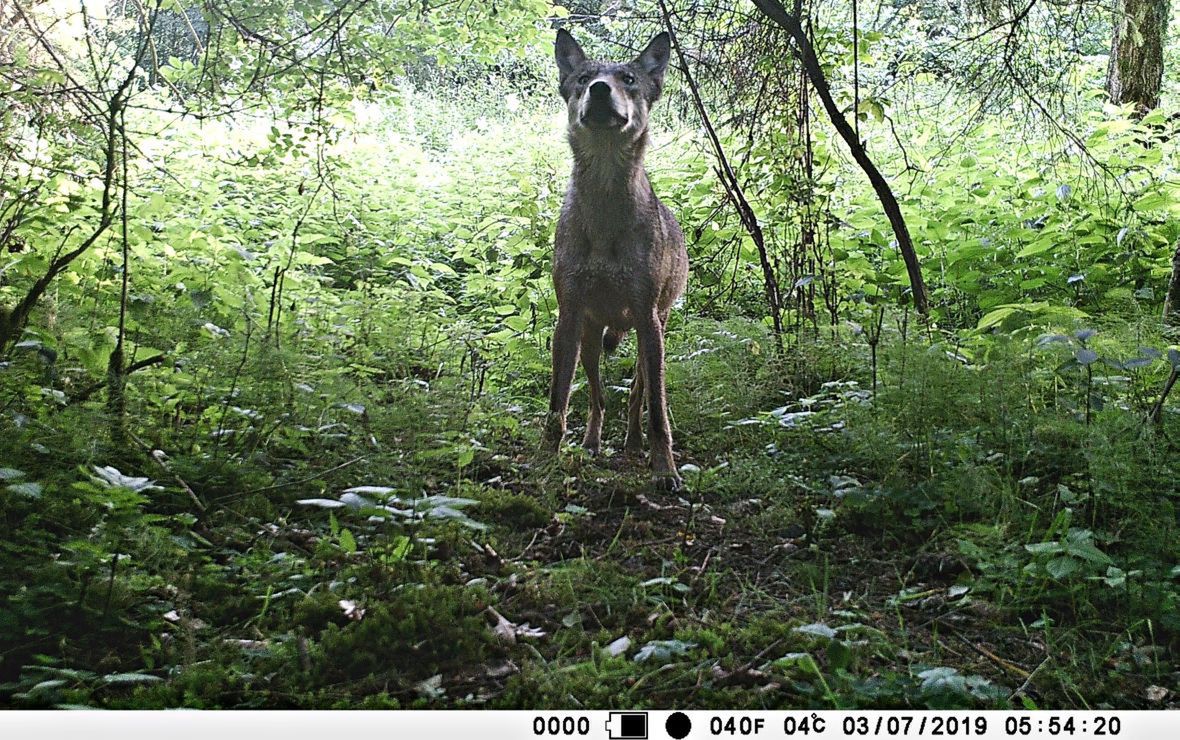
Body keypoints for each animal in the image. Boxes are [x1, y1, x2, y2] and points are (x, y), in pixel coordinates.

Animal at [542, 28, 689, 493]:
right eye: (584, 78)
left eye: (628, 79)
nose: (600, 89)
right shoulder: (568, 317)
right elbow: (557, 404)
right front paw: (542, 461)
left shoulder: (647, 317)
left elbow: (658, 411)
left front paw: (665, 470)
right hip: (590, 340)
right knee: (598, 396)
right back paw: (591, 444)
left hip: (651, 336)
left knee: (639, 395)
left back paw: (633, 443)